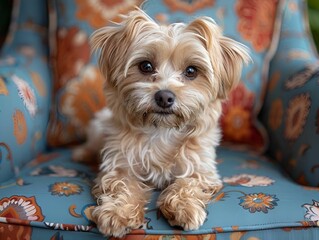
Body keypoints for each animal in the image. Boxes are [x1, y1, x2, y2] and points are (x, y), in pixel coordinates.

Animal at [73, 7, 252, 238]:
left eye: (191, 71)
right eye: (146, 66)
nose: (165, 97)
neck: (162, 130)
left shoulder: (202, 170)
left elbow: (187, 183)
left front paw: (185, 207)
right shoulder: (119, 165)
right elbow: (123, 185)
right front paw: (117, 212)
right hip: (99, 127)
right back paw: (83, 153)